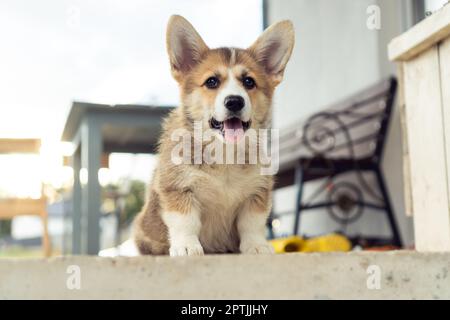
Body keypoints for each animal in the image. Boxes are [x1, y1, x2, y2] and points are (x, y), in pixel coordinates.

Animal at [134, 15, 296, 256]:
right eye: (212, 81)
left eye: (249, 82)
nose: (234, 101)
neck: (224, 151)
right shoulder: (178, 188)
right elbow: (186, 221)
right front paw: (186, 247)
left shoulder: (257, 192)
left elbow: (252, 223)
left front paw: (257, 246)